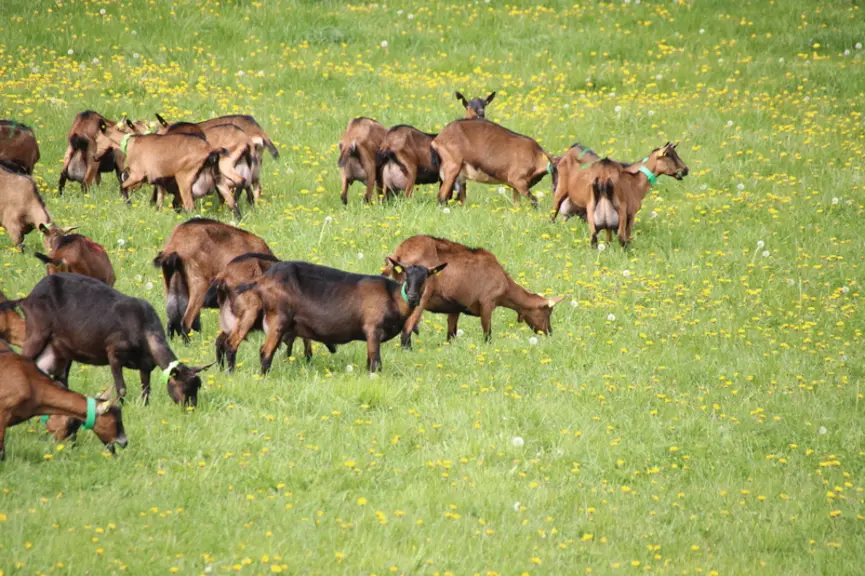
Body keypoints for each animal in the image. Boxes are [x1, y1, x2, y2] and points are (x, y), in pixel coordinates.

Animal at [0, 274, 214, 406]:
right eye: (183, 386)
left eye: (197, 386)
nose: (191, 408)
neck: (143, 331)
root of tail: (26, 299)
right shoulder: (113, 352)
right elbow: (121, 389)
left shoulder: (145, 365)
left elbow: (146, 390)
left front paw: (144, 407)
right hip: (36, 331)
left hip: (60, 348)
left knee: (59, 376)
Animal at [235, 259, 445, 373]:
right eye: (407, 276)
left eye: (426, 277)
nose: (413, 296)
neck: (392, 297)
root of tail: (262, 281)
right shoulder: (373, 328)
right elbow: (376, 362)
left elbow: (369, 362)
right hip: (278, 318)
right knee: (265, 352)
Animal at [383, 235, 563, 344]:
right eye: (547, 312)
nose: (549, 332)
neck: (505, 284)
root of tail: (399, 253)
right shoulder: (487, 303)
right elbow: (487, 334)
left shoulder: (454, 308)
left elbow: (451, 335)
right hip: (419, 297)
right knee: (407, 329)